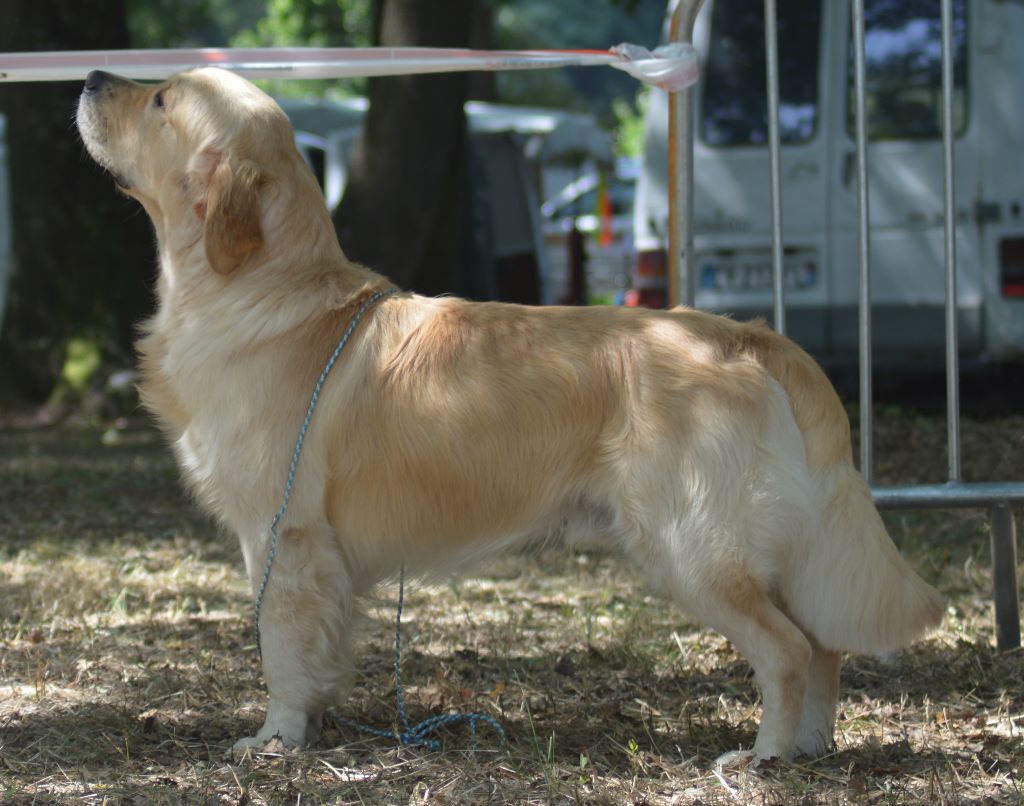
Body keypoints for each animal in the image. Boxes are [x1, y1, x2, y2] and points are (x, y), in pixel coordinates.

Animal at [77, 67, 942, 761]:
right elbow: (316, 650)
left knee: (791, 649)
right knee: (825, 644)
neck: (254, 288)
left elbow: (280, 647)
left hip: (693, 546)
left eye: (160, 98)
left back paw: (762, 757)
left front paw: (276, 739)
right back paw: (811, 746)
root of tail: (747, 336)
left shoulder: (282, 534)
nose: (90, 75)